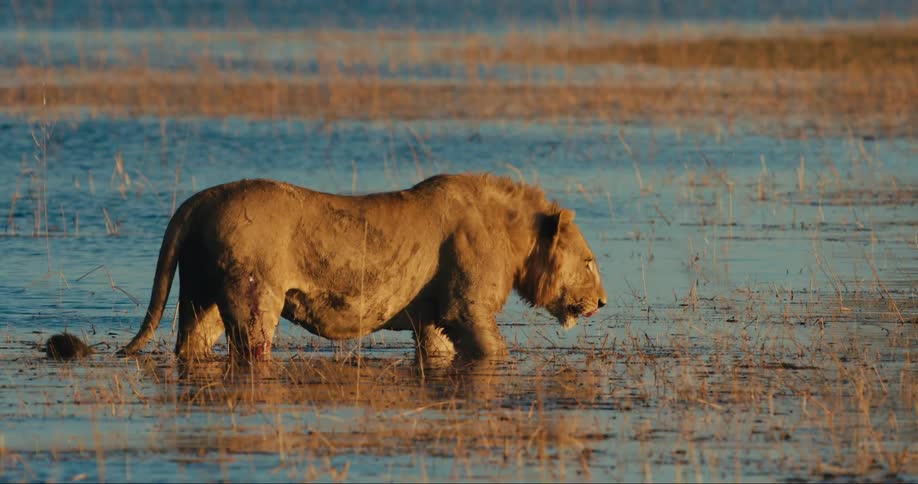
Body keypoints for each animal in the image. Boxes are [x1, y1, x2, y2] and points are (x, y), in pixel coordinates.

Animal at [115, 173, 606, 361]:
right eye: (589, 262)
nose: (602, 303)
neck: (514, 236)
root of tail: (200, 200)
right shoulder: (465, 308)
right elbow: (493, 350)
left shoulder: (431, 317)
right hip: (253, 297)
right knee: (252, 346)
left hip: (202, 296)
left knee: (191, 343)